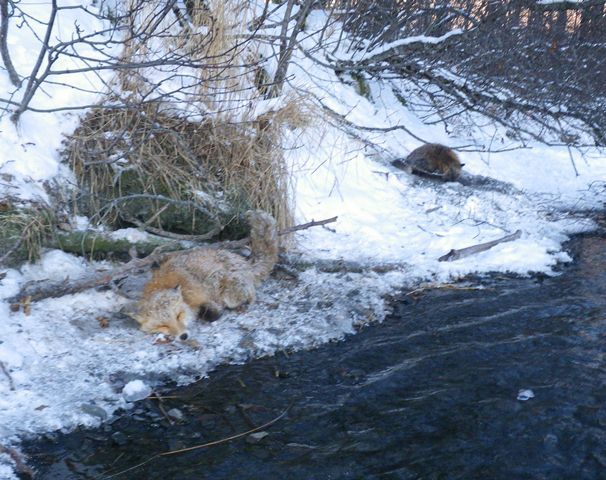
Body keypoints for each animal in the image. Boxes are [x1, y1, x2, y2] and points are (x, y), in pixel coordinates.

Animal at [131, 210, 278, 340]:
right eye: (163, 326)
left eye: (178, 316)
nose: (183, 336)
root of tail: (244, 263)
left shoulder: (206, 294)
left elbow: (213, 310)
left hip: (228, 289)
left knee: (250, 296)